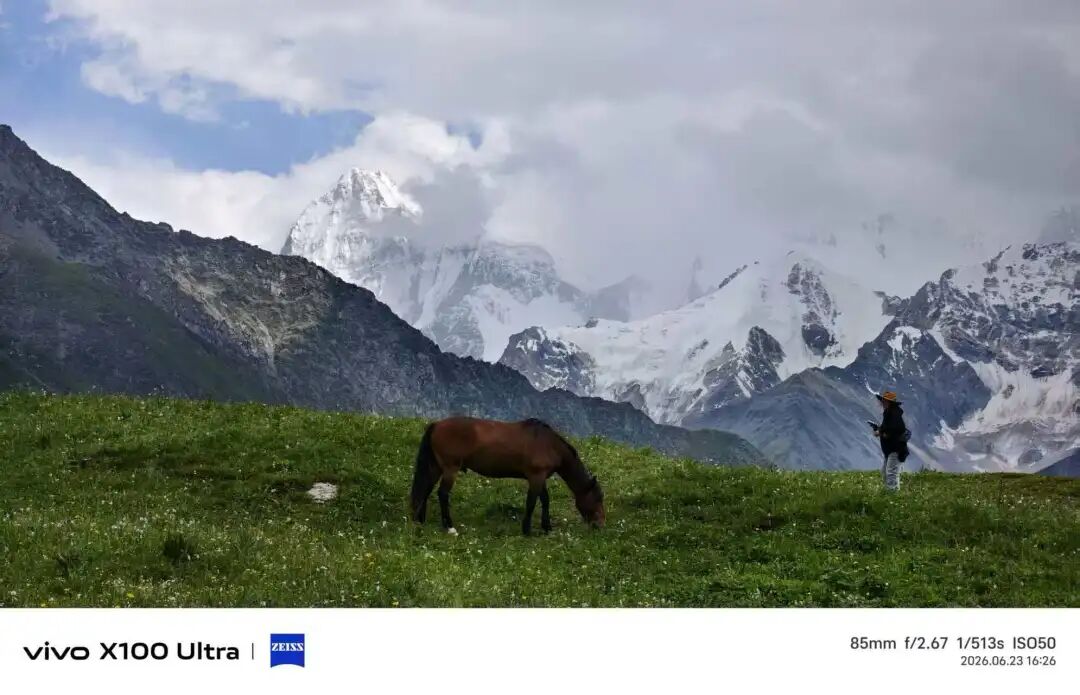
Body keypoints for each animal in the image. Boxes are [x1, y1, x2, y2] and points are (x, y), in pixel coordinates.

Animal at [410, 417, 605, 535]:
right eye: (597, 498)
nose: (601, 524)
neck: (549, 444)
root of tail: (436, 425)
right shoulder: (535, 477)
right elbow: (532, 503)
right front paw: (527, 530)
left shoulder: (540, 478)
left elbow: (545, 500)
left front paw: (547, 527)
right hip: (450, 469)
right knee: (442, 494)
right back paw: (449, 527)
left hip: (436, 467)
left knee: (425, 490)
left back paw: (420, 520)